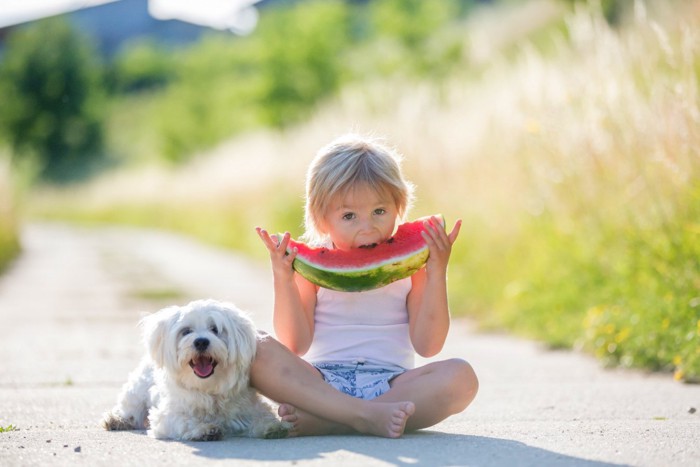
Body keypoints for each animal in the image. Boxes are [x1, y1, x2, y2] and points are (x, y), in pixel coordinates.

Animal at [101, 300, 292, 442]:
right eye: (186, 331)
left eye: (215, 329)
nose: (201, 341)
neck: (208, 388)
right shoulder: (166, 416)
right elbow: (184, 421)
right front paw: (204, 429)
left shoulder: (248, 407)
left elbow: (259, 416)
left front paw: (272, 426)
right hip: (136, 392)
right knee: (130, 410)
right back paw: (117, 420)